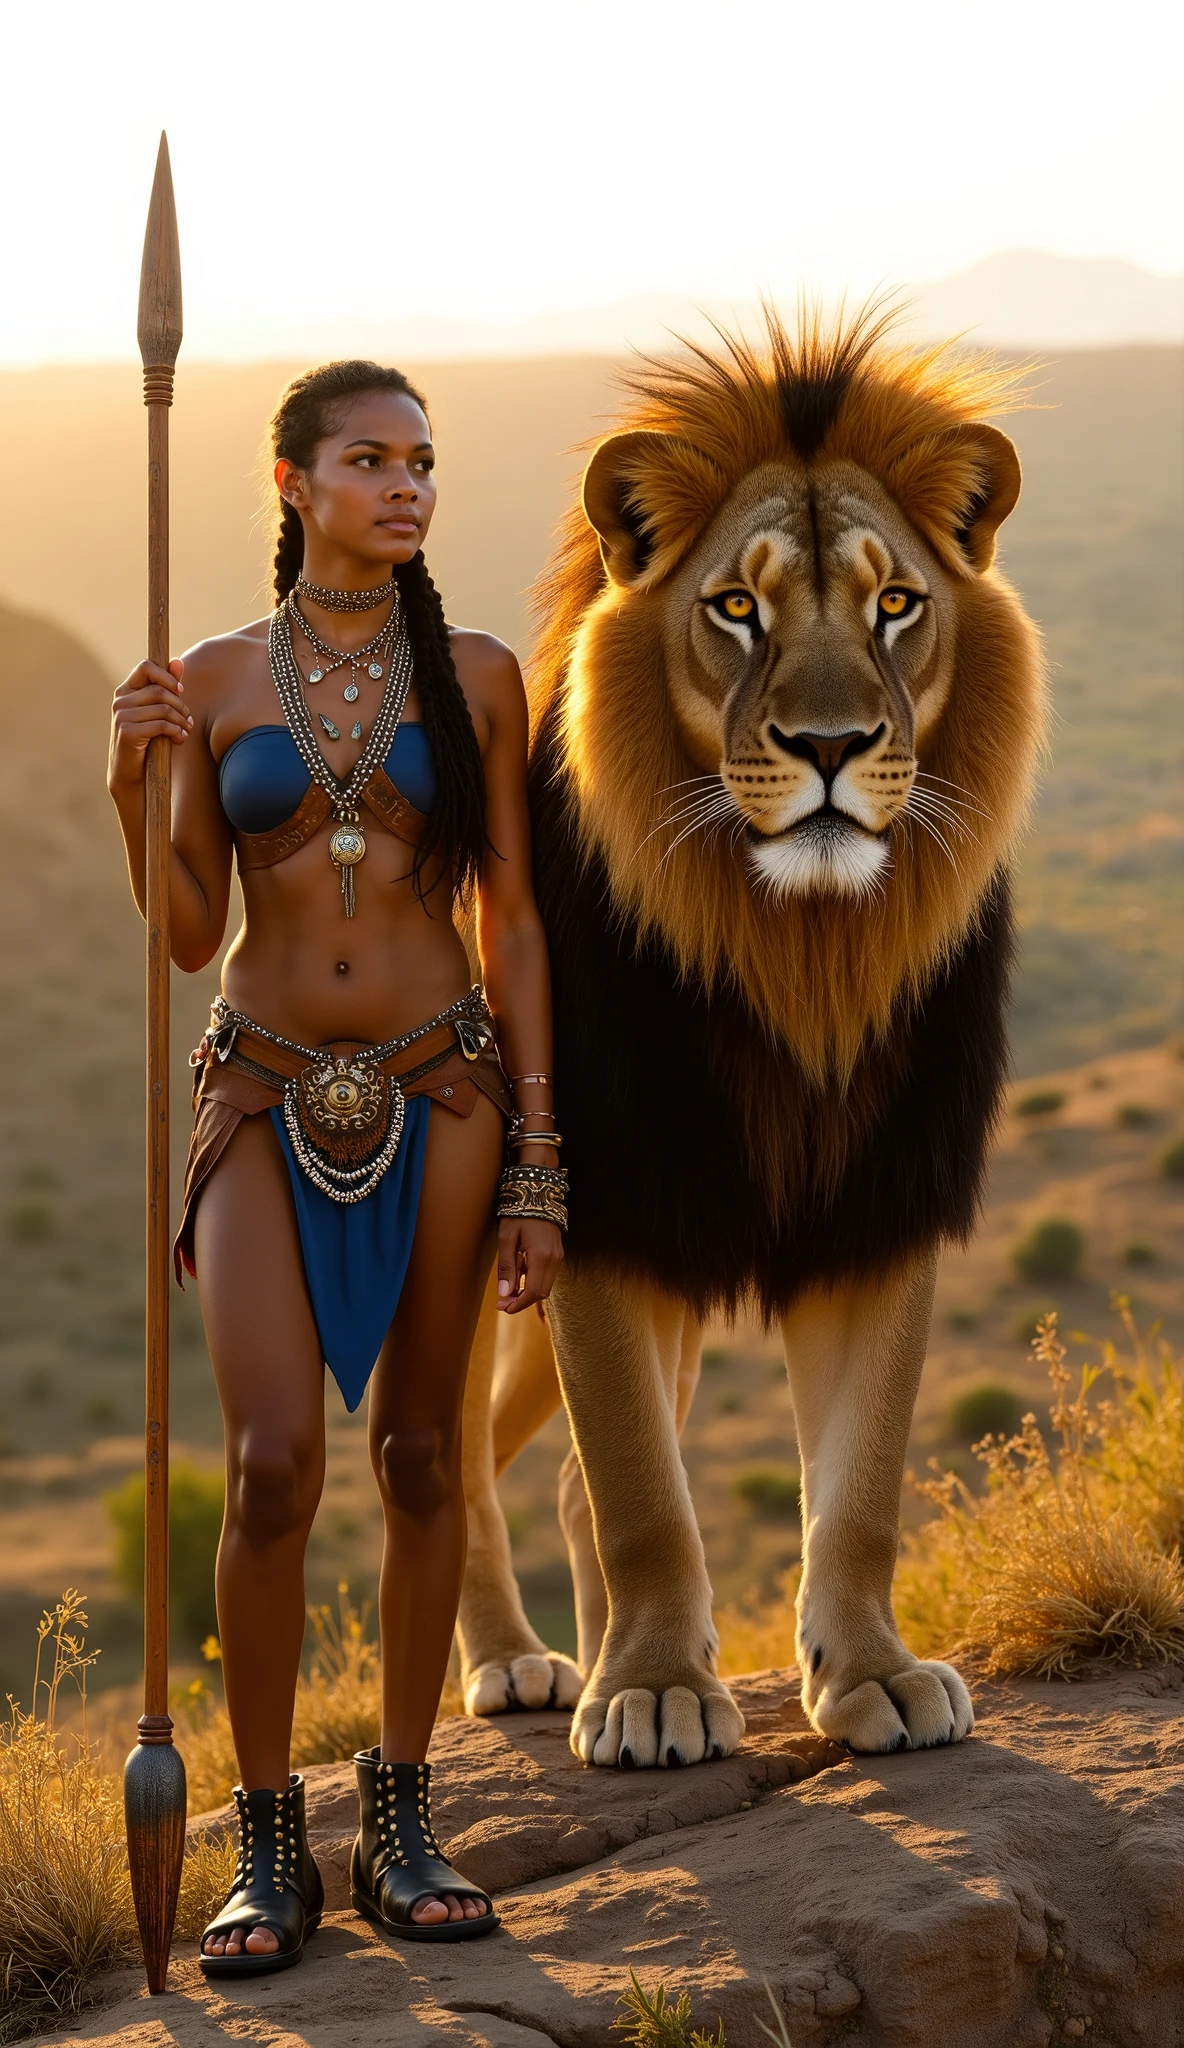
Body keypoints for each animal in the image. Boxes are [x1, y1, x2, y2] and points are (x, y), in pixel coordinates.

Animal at [455, 306, 1045, 1766]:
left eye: (896, 604)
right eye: (736, 607)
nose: (829, 744)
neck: (801, 953)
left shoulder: (883, 1197)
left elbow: (863, 1483)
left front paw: (872, 1675)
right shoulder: (604, 1209)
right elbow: (642, 1493)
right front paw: (656, 1692)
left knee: (551, 1472)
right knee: (448, 1457)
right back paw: (512, 1658)